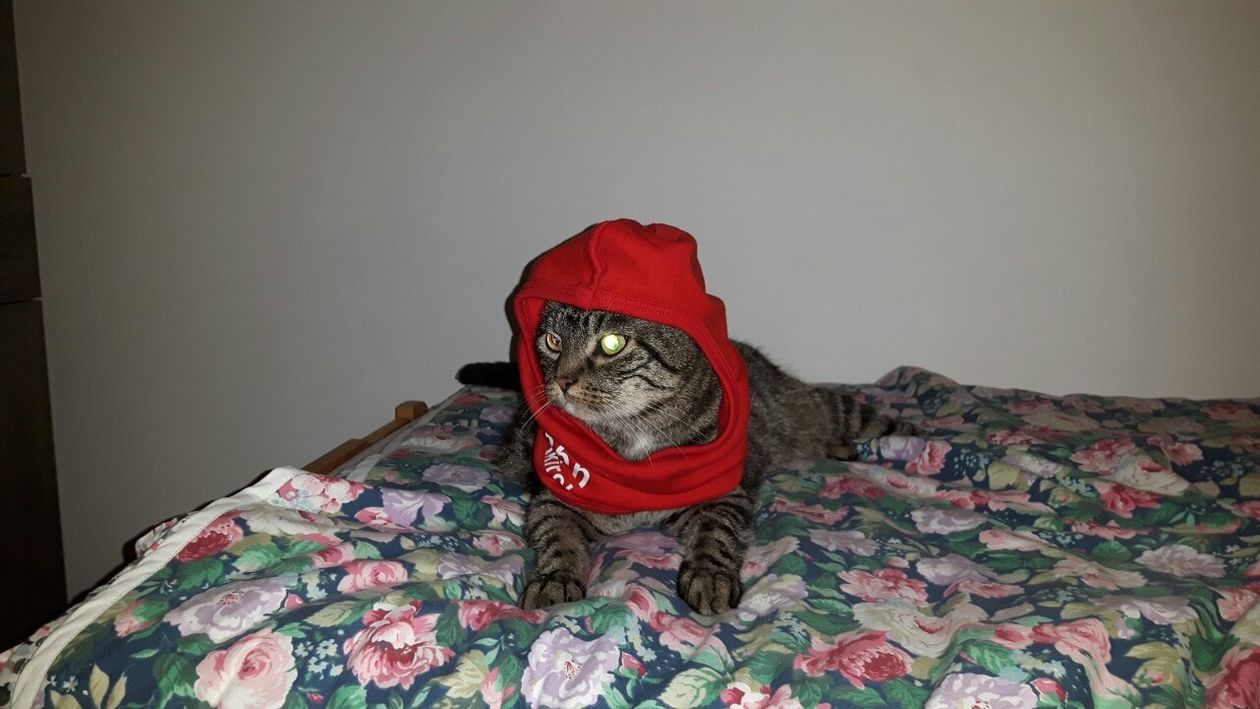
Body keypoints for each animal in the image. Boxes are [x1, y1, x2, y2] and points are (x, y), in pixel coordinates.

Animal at [459, 301, 917, 615]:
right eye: (552, 343)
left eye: (611, 344)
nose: (562, 381)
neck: (630, 438)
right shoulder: (552, 499)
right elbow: (558, 538)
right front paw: (555, 579)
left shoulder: (724, 494)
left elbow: (717, 533)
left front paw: (710, 577)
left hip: (820, 407)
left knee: (866, 415)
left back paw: (913, 438)